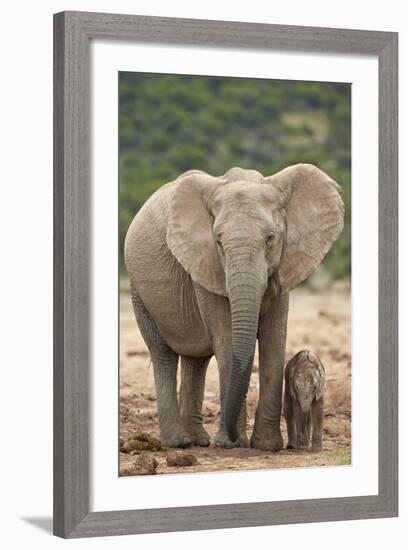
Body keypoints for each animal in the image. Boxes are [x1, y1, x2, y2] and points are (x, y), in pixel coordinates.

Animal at [125, 166, 344, 450]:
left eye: (270, 238)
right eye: (218, 242)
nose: (229, 438)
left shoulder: (283, 265)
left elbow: (275, 337)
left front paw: (266, 446)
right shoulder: (204, 264)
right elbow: (226, 337)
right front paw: (233, 444)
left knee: (196, 360)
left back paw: (199, 441)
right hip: (138, 292)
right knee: (163, 354)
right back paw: (179, 443)